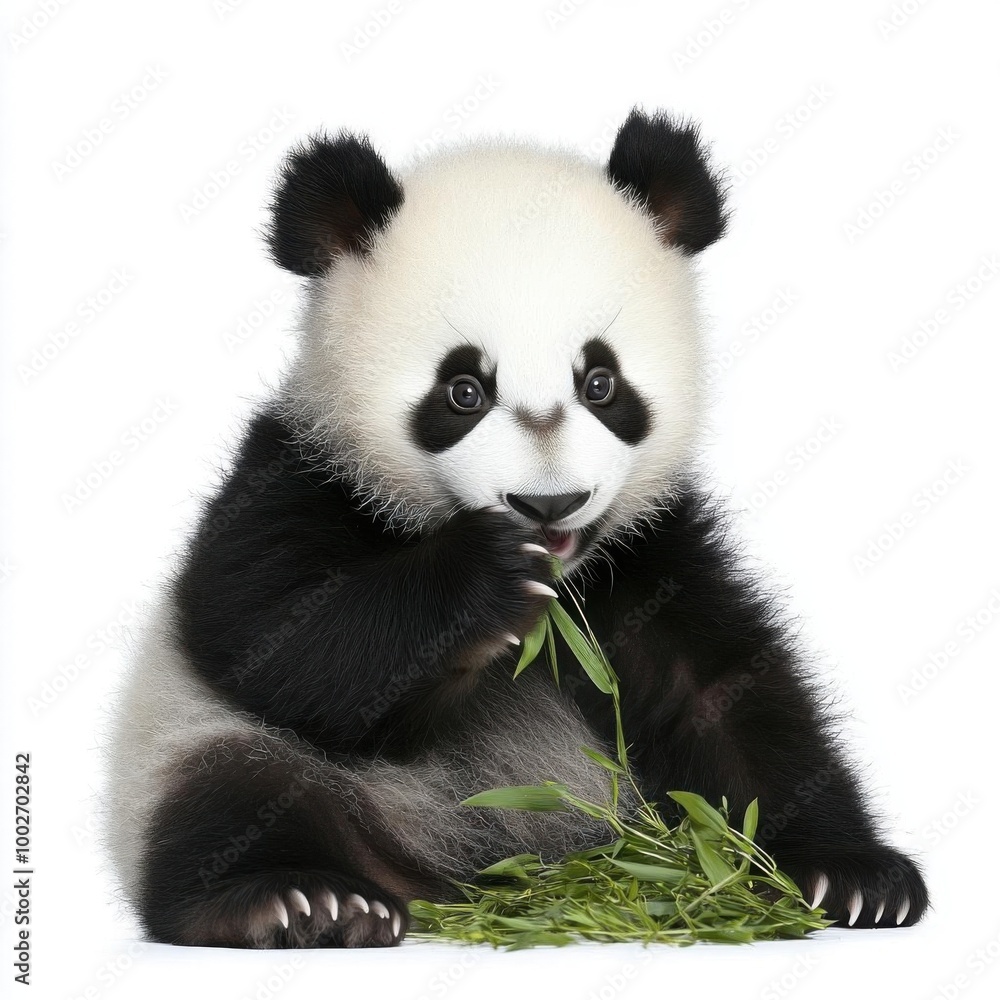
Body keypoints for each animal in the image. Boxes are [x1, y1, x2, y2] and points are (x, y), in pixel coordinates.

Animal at [105, 109, 928, 949]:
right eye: (463, 390)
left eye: (600, 383)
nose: (549, 504)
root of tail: (453, 880)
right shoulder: (294, 474)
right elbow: (274, 635)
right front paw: (486, 576)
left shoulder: (651, 549)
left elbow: (727, 694)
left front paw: (849, 875)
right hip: (202, 742)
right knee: (237, 788)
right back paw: (298, 902)